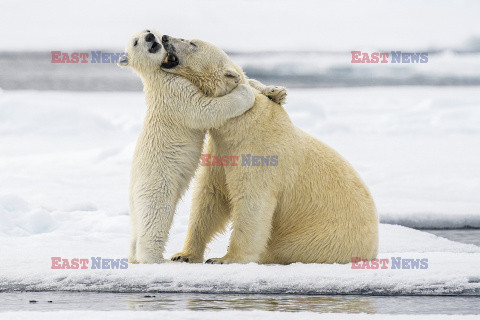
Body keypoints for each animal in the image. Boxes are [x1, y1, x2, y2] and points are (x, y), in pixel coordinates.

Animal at [119, 30, 284, 264]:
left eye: (148, 30)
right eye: (136, 42)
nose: (152, 37)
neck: (159, 76)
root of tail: (132, 193)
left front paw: (276, 91)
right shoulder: (175, 94)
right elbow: (204, 109)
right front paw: (245, 92)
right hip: (156, 183)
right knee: (156, 216)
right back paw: (157, 259)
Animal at [164, 35, 378, 264]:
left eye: (192, 43)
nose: (165, 38)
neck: (241, 124)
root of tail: (373, 248)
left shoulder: (260, 155)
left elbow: (251, 204)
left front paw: (225, 258)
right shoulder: (220, 151)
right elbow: (209, 198)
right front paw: (183, 255)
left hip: (318, 241)